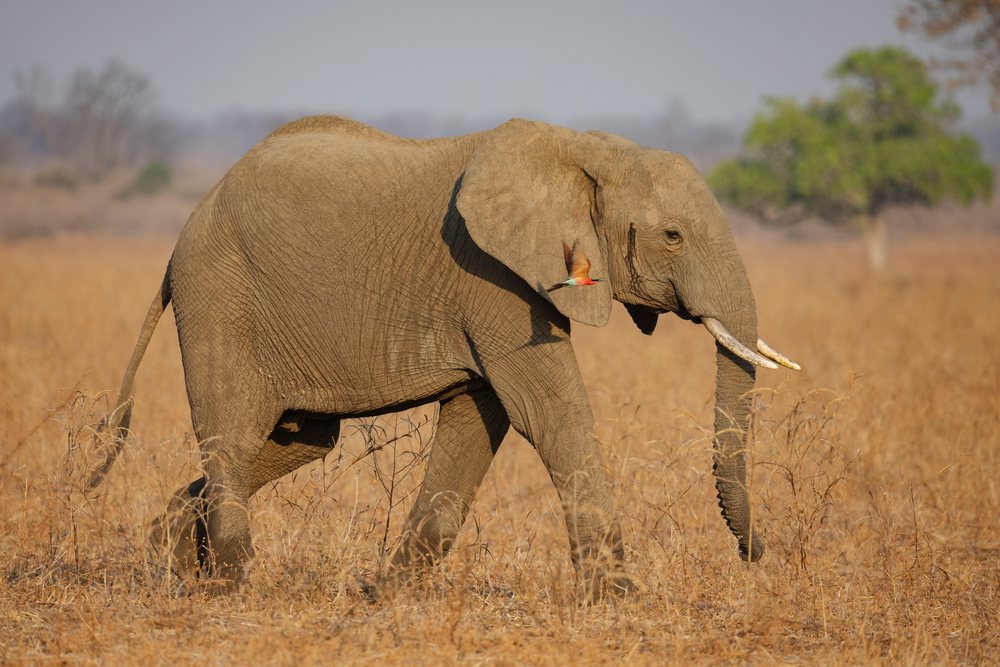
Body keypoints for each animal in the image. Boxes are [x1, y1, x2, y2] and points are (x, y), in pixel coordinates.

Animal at [86, 115, 799, 597]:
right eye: (673, 236)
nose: (759, 554)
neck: (583, 148)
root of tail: (186, 228)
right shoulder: (492, 278)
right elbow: (549, 412)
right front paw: (621, 601)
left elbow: (480, 418)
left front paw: (387, 597)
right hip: (219, 296)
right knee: (232, 434)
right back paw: (232, 587)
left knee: (302, 439)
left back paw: (174, 557)